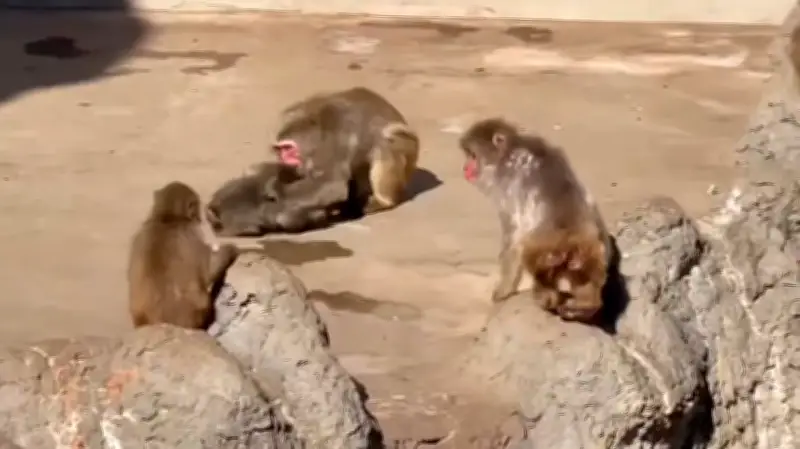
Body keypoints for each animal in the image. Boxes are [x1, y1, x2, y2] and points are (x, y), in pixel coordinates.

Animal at [128, 181, 239, 329]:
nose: (200, 217)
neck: (167, 217)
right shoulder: (192, 234)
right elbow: (209, 270)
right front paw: (230, 249)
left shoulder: (138, 236)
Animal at [270, 86, 420, 217]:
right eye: (280, 150)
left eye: (288, 149)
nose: (281, 158)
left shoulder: (334, 141)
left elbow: (333, 184)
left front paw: (279, 199)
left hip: (408, 148)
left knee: (386, 141)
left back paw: (383, 201)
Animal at [459, 117, 611, 323]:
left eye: (472, 156)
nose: (465, 167)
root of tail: (571, 238)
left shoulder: (506, 186)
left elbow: (513, 233)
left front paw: (503, 291)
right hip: (591, 253)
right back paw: (586, 306)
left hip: (546, 255)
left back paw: (546, 298)